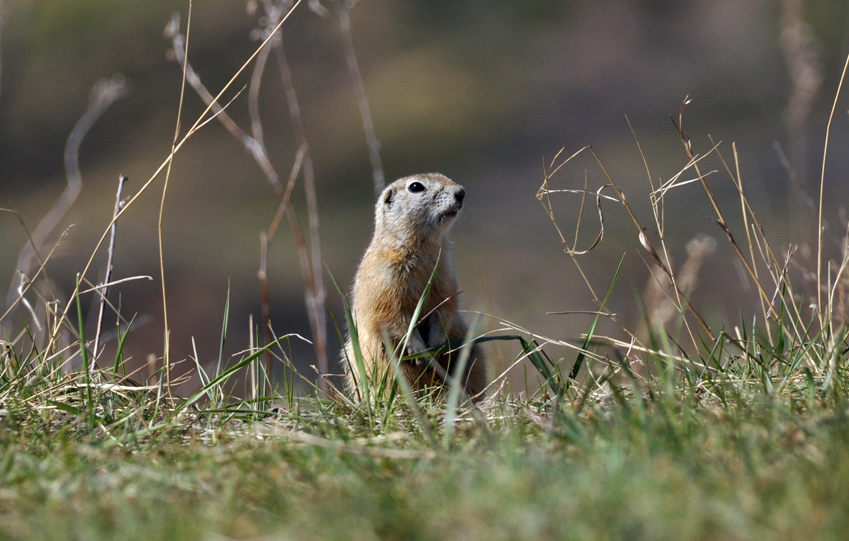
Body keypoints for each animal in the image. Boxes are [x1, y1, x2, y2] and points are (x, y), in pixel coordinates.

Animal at [342, 174, 486, 400]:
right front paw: (420, 352)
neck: (422, 250)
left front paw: (436, 346)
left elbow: (445, 309)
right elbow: (393, 317)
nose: (460, 192)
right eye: (416, 187)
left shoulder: (446, 276)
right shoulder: (385, 281)